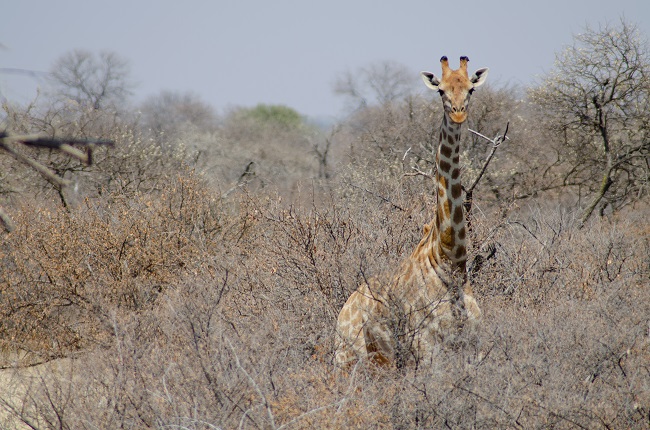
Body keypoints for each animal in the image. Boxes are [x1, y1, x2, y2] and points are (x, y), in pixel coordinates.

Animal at [335, 56, 488, 368]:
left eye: (470, 89)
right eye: (440, 91)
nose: (458, 115)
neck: (451, 260)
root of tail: (342, 311)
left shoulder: (475, 349)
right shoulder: (428, 349)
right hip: (347, 359)